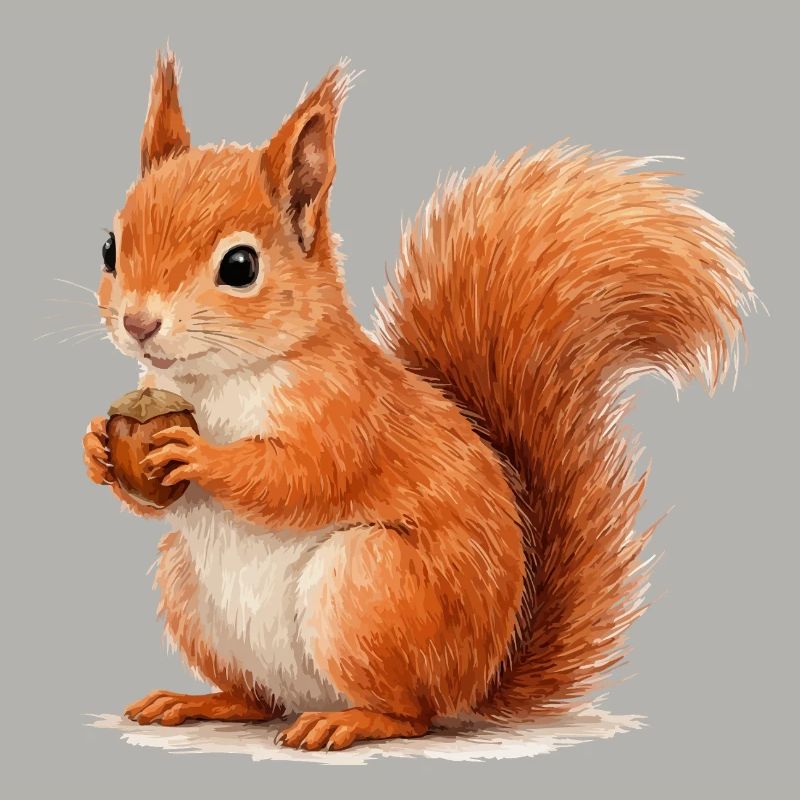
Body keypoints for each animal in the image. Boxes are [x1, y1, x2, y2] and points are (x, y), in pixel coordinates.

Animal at [82, 51, 753, 751]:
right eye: (110, 247)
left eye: (240, 266)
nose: (137, 323)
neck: (216, 379)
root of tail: (477, 685)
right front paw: (97, 448)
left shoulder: (348, 410)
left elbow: (301, 477)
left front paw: (199, 455)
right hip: (189, 590)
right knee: (258, 700)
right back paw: (199, 701)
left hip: (369, 587)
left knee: (411, 714)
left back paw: (347, 721)